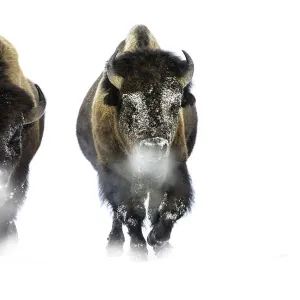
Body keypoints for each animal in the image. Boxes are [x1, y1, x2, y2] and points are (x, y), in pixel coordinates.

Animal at [76, 25, 198, 258]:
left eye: (175, 105)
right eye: (130, 104)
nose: (154, 148)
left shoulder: (177, 167)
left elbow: (171, 209)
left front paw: (157, 240)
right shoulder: (114, 174)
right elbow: (129, 213)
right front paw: (138, 249)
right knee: (119, 214)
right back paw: (114, 242)